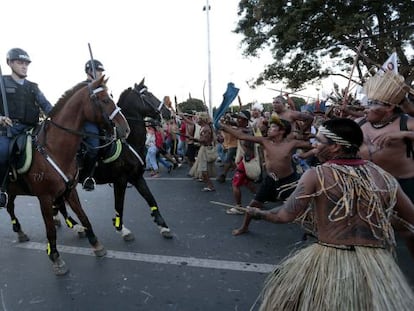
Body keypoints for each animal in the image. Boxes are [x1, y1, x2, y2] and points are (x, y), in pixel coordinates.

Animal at [4, 75, 129, 276]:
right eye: (104, 100)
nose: (125, 128)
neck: (54, 149)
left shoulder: (70, 190)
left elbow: (84, 216)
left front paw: (96, 244)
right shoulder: (45, 197)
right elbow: (50, 230)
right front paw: (56, 258)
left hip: (14, 191)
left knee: (10, 207)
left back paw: (20, 231)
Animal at [53, 78, 173, 241]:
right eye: (149, 95)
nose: (168, 112)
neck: (128, 142)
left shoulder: (136, 177)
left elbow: (150, 198)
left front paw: (163, 225)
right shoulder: (120, 180)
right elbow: (119, 205)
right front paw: (121, 229)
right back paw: (76, 226)